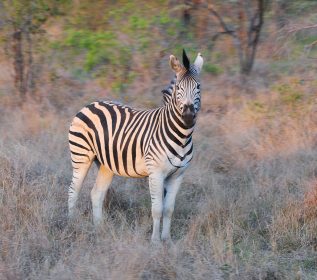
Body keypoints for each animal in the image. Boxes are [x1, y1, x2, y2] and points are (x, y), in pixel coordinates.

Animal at [68, 50, 204, 243]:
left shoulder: (178, 176)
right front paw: (155, 242)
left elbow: (169, 210)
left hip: (106, 165)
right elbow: (157, 209)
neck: (182, 137)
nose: (188, 116)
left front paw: (167, 240)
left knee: (97, 193)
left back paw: (100, 230)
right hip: (81, 156)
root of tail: (91, 104)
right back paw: (72, 225)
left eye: (198, 86)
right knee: (73, 191)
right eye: (178, 88)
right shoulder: (156, 173)